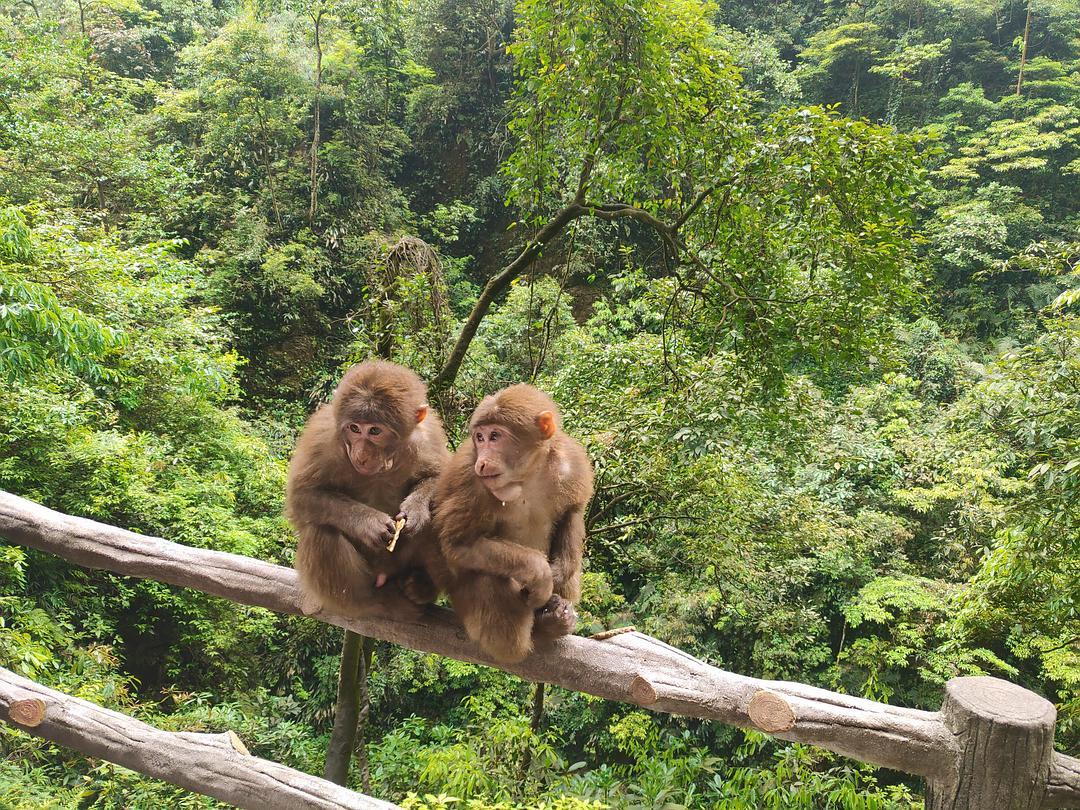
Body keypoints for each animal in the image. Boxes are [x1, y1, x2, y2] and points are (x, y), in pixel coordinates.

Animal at [285, 358, 449, 617]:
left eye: (375, 431)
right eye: (354, 428)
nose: (361, 454)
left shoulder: (428, 434)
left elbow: (438, 476)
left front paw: (416, 510)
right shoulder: (323, 438)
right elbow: (303, 495)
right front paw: (368, 522)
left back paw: (420, 587)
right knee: (321, 530)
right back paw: (370, 599)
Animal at [434, 386, 596, 665]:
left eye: (495, 436)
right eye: (480, 437)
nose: (483, 461)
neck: (526, 475)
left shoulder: (571, 463)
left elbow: (572, 512)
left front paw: (558, 573)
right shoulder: (471, 480)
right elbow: (460, 544)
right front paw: (541, 573)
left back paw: (554, 618)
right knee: (489, 576)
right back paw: (525, 639)